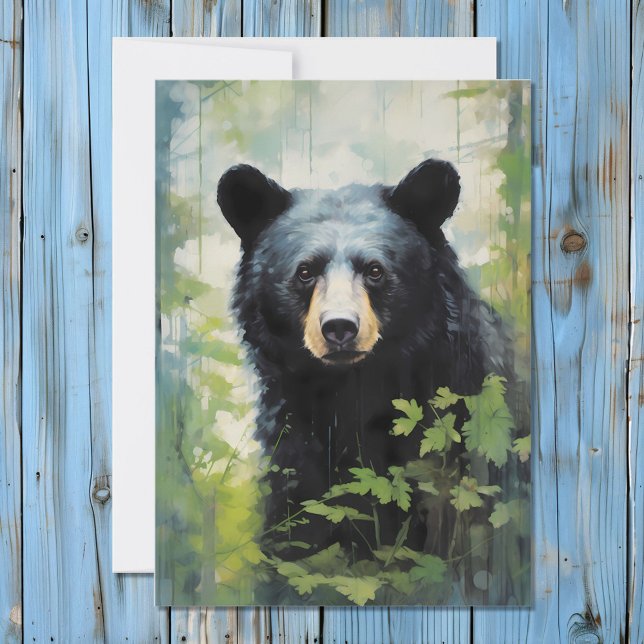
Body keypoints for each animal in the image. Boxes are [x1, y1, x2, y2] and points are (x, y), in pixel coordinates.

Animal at [217, 159, 512, 564]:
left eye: (375, 270)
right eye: (305, 271)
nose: (339, 326)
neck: (353, 387)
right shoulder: (293, 445)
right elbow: (295, 533)